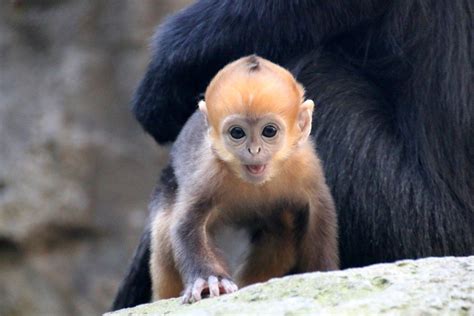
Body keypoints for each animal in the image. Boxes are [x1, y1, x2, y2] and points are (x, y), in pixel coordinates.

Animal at [150, 55, 338, 304]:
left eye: (269, 131)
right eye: (237, 133)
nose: (254, 150)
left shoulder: (305, 165)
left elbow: (318, 216)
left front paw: (322, 272)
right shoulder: (209, 171)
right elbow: (185, 225)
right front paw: (209, 280)